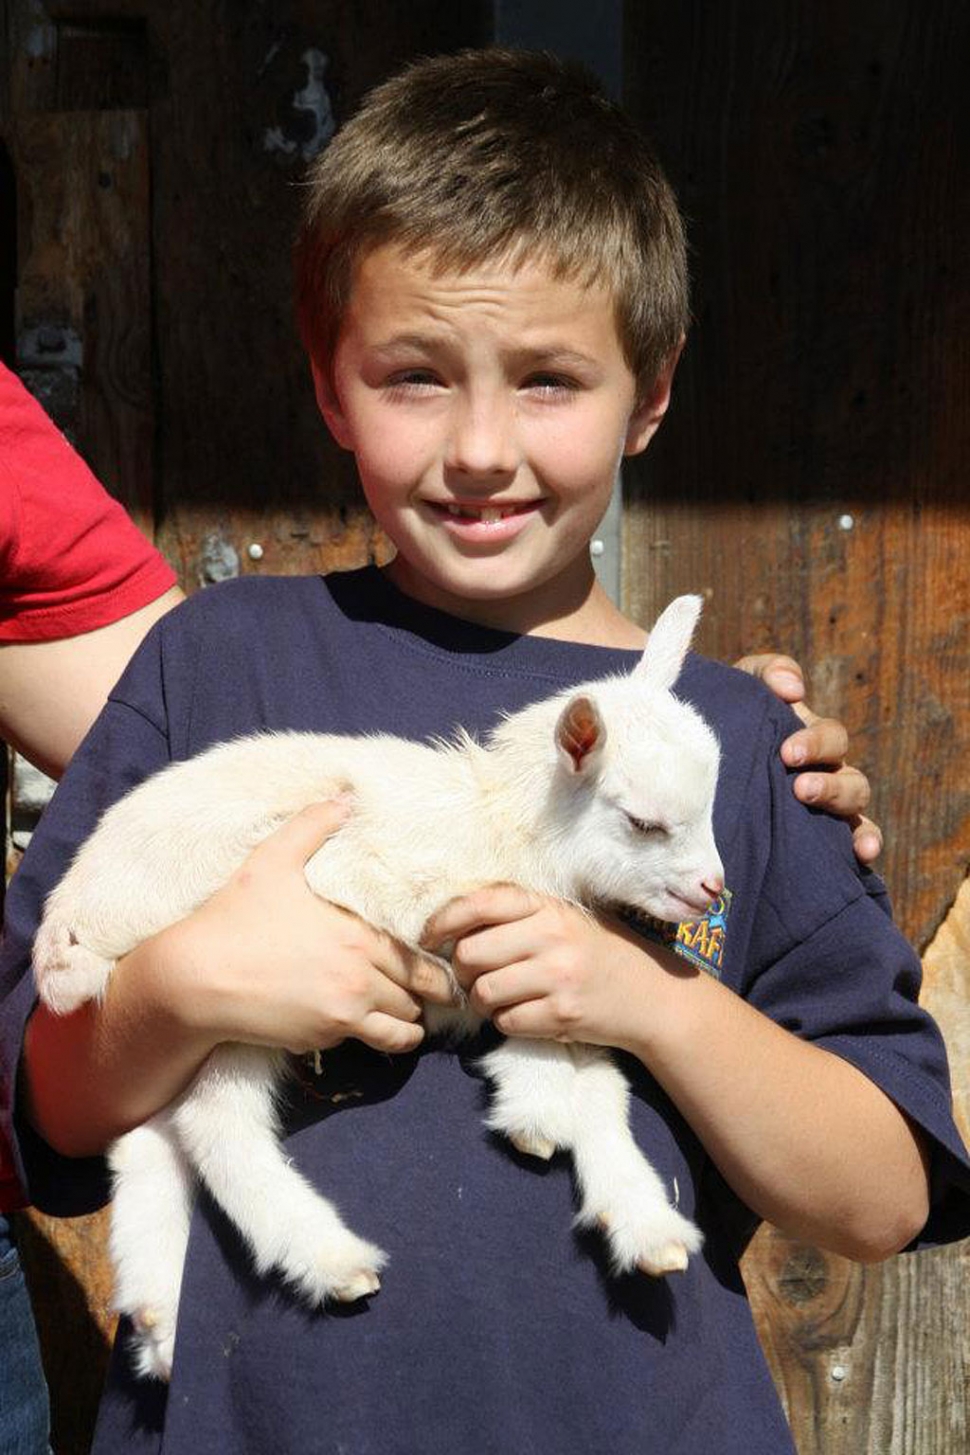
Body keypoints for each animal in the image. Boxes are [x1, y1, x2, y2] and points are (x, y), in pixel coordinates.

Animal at [34, 587, 724, 1373]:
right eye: (643, 822)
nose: (712, 889)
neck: (504, 826)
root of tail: (71, 920)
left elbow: (603, 1086)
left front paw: (642, 1222)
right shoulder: (396, 899)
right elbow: (568, 1075)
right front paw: (539, 1112)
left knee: (149, 1134)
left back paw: (159, 1319)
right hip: (226, 989)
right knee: (213, 1122)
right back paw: (328, 1260)